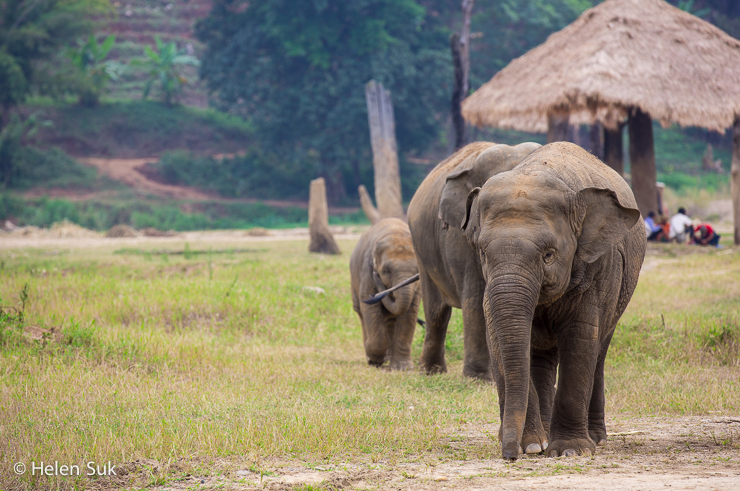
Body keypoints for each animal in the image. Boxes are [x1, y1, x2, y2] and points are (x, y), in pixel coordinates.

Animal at [352, 217, 422, 370]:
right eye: (386, 271)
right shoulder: (367, 270)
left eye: (417, 272)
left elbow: (410, 311)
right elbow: (370, 309)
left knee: (391, 319)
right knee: (361, 313)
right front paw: (374, 360)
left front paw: (403, 368)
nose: (375, 296)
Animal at [408, 141, 644, 462]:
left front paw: (569, 450)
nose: (509, 455)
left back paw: (595, 438)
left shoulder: (598, 270)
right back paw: (541, 438)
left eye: (548, 255)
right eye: (482, 252)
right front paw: (530, 446)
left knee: (598, 352)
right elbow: (496, 333)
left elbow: (580, 338)